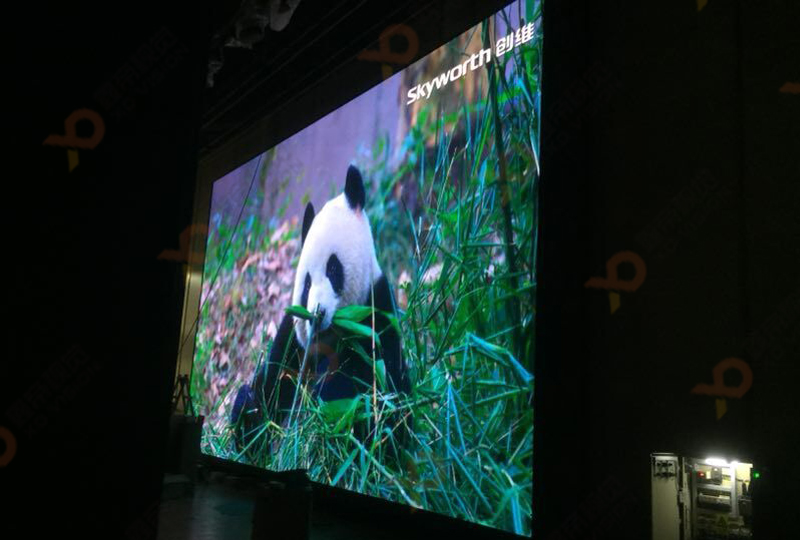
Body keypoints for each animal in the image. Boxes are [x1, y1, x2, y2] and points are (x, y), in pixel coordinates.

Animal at [231, 165, 410, 456]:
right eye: (306, 284)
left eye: (333, 269)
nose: (317, 314)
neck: (331, 335)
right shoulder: (293, 341)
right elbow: (271, 384)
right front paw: (249, 411)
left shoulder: (376, 314)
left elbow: (370, 389)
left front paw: (324, 396)